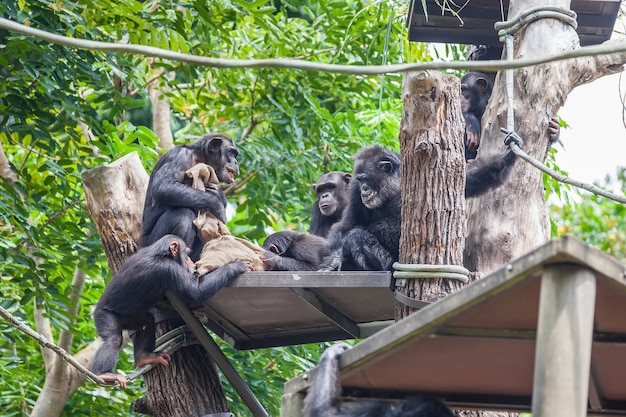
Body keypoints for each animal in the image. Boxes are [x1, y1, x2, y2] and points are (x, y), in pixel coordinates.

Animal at [91, 234, 250, 386]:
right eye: (187, 254)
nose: (192, 261)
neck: (162, 254)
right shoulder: (169, 268)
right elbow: (195, 292)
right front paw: (235, 265)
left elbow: (162, 300)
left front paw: (194, 310)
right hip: (104, 315)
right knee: (114, 339)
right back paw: (103, 373)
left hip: (129, 318)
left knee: (147, 321)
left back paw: (144, 357)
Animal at [320, 137, 520, 272]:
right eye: (360, 180)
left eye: (367, 179)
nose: (364, 189)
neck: (394, 186)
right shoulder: (354, 193)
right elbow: (347, 225)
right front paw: (334, 260)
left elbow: (469, 178)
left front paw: (506, 156)